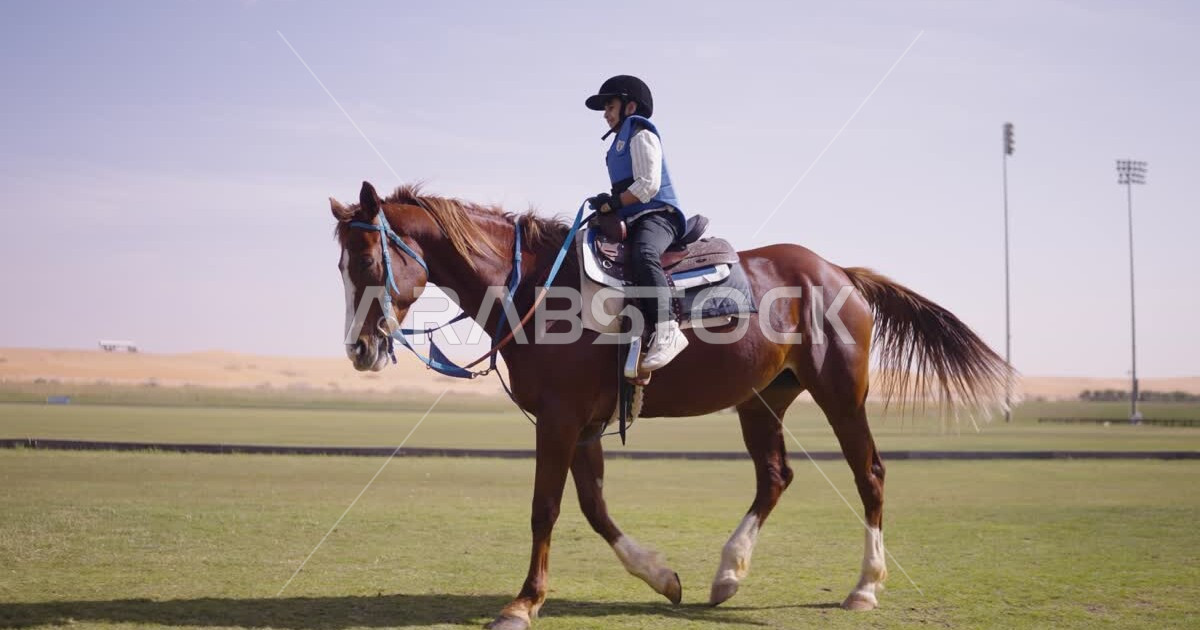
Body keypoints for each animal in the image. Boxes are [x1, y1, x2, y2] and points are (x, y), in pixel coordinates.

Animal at [329, 181, 1010, 630]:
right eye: (341, 263)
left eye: (366, 258)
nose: (359, 350)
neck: (537, 289)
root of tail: (838, 271)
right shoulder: (583, 425)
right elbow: (594, 508)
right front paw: (661, 576)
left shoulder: (560, 419)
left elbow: (546, 509)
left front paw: (523, 603)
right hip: (761, 401)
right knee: (774, 476)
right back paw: (727, 574)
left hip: (841, 395)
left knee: (869, 473)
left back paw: (864, 588)